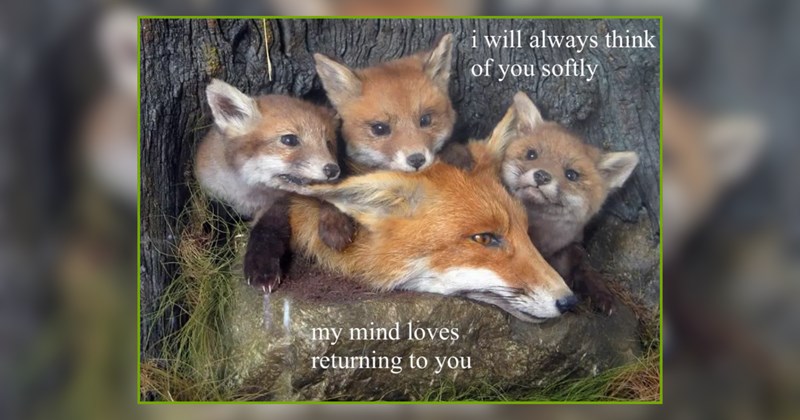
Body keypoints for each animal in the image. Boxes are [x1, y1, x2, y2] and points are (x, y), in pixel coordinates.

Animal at [475, 92, 640, 314]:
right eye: (532, 154)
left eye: (571, 175)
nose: (542, 176)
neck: (544, 240)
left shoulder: (573, 247)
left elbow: (586, 269)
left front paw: (601, 293)